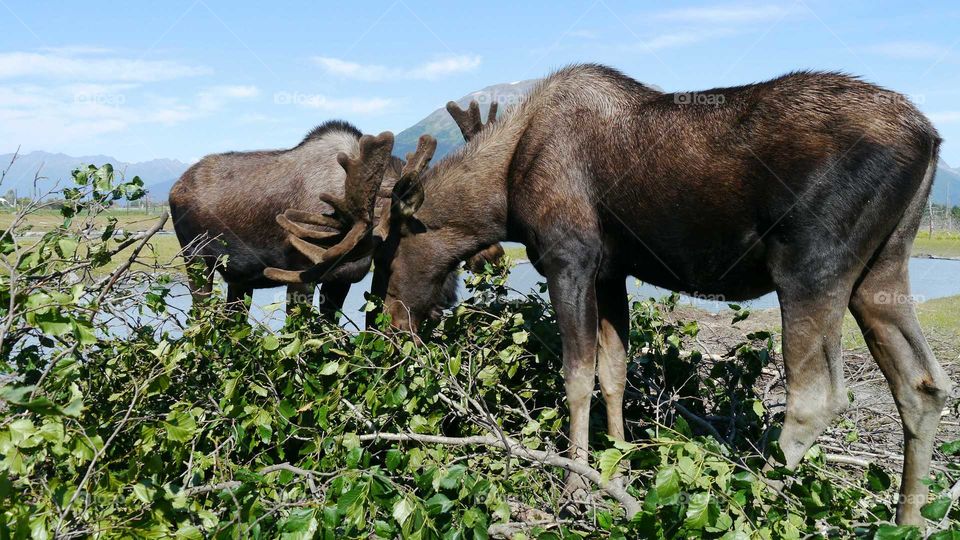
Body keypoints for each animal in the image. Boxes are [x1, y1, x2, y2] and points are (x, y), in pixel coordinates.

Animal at [169, 103, 506, 318]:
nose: (496, 255)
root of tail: (175, 188)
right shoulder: (300, 274)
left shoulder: (341, 280)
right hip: (196, 260)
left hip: (238, 278)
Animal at [266, 62, 948, 524]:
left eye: (385, 249)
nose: (387, 324)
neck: (503, 194)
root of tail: (932, 138)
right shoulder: (613, 270)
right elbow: (615, 371)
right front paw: (623, 458)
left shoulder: (568, 259)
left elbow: (577, 375)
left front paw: (577, 484)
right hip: (883, 272)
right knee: (923, 385)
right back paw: (908, 518)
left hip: (811, 269)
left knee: (815, 398)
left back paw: (769, 502)